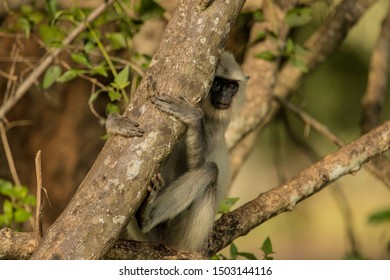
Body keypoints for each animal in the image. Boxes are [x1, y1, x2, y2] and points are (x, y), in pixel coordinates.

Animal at [106, 50, 247, 252]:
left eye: (232, 86)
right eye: (217, 83)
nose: (224, 95)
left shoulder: (218, 124)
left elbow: (198, 164)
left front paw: (192, 117)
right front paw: (114, 122)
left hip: (184, 237)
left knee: (210, 169)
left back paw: (146, 216)